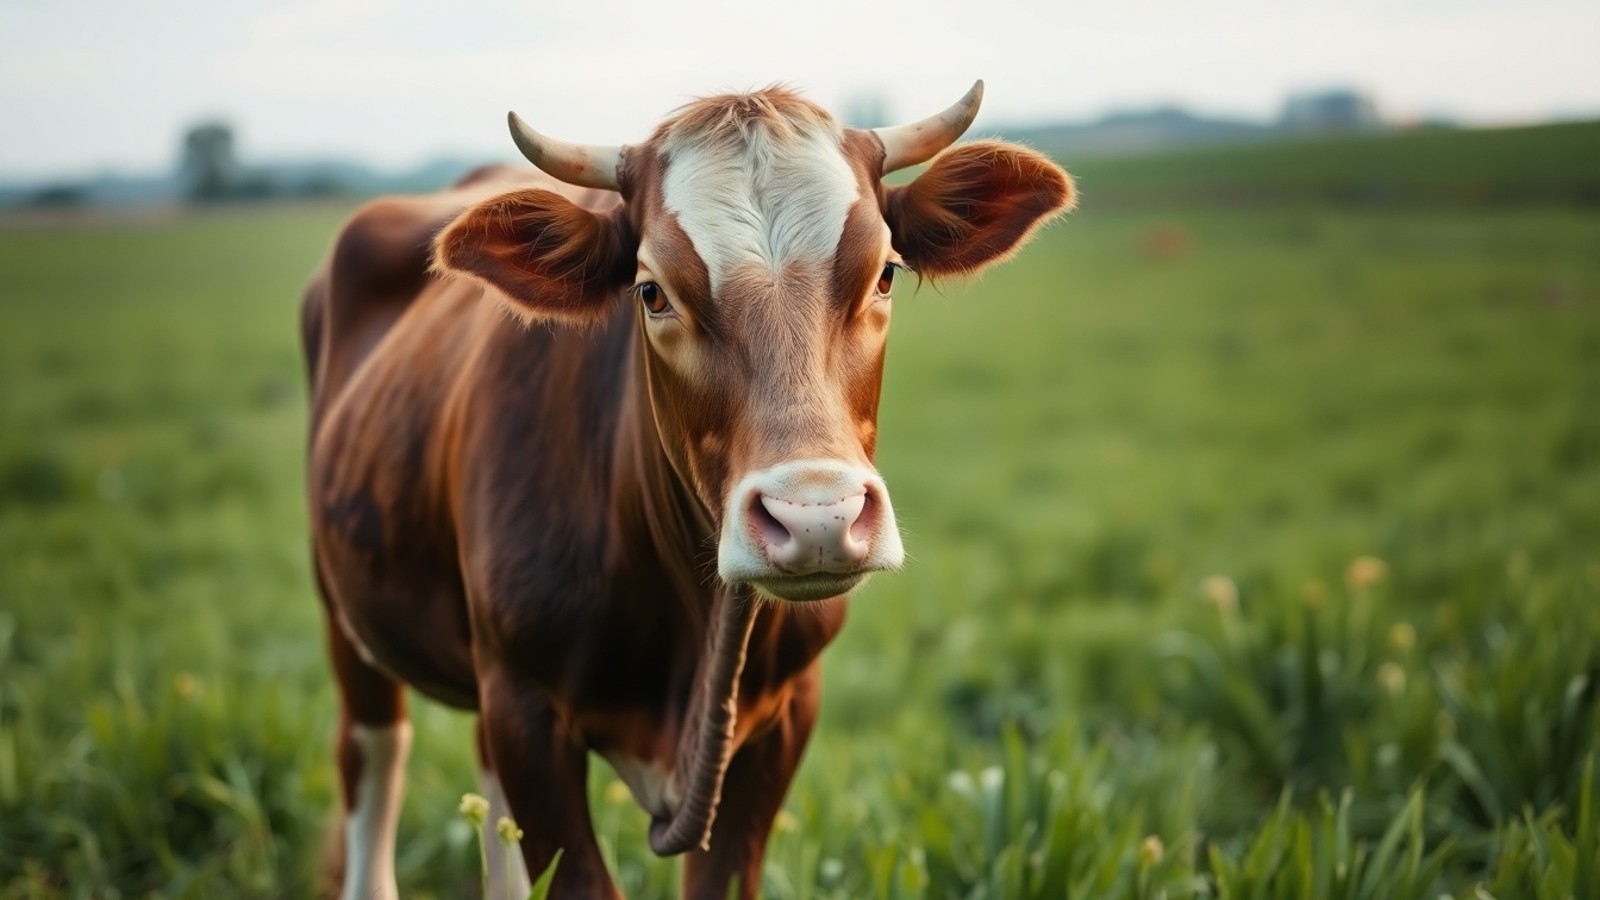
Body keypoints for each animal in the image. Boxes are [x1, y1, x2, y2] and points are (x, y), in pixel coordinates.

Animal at [302, 80, 1073, 899]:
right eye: (651, 292)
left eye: (886, 273)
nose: (817, 518)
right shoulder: (526, 707)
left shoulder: (784, 715)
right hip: (345, 611)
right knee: (374, 759)